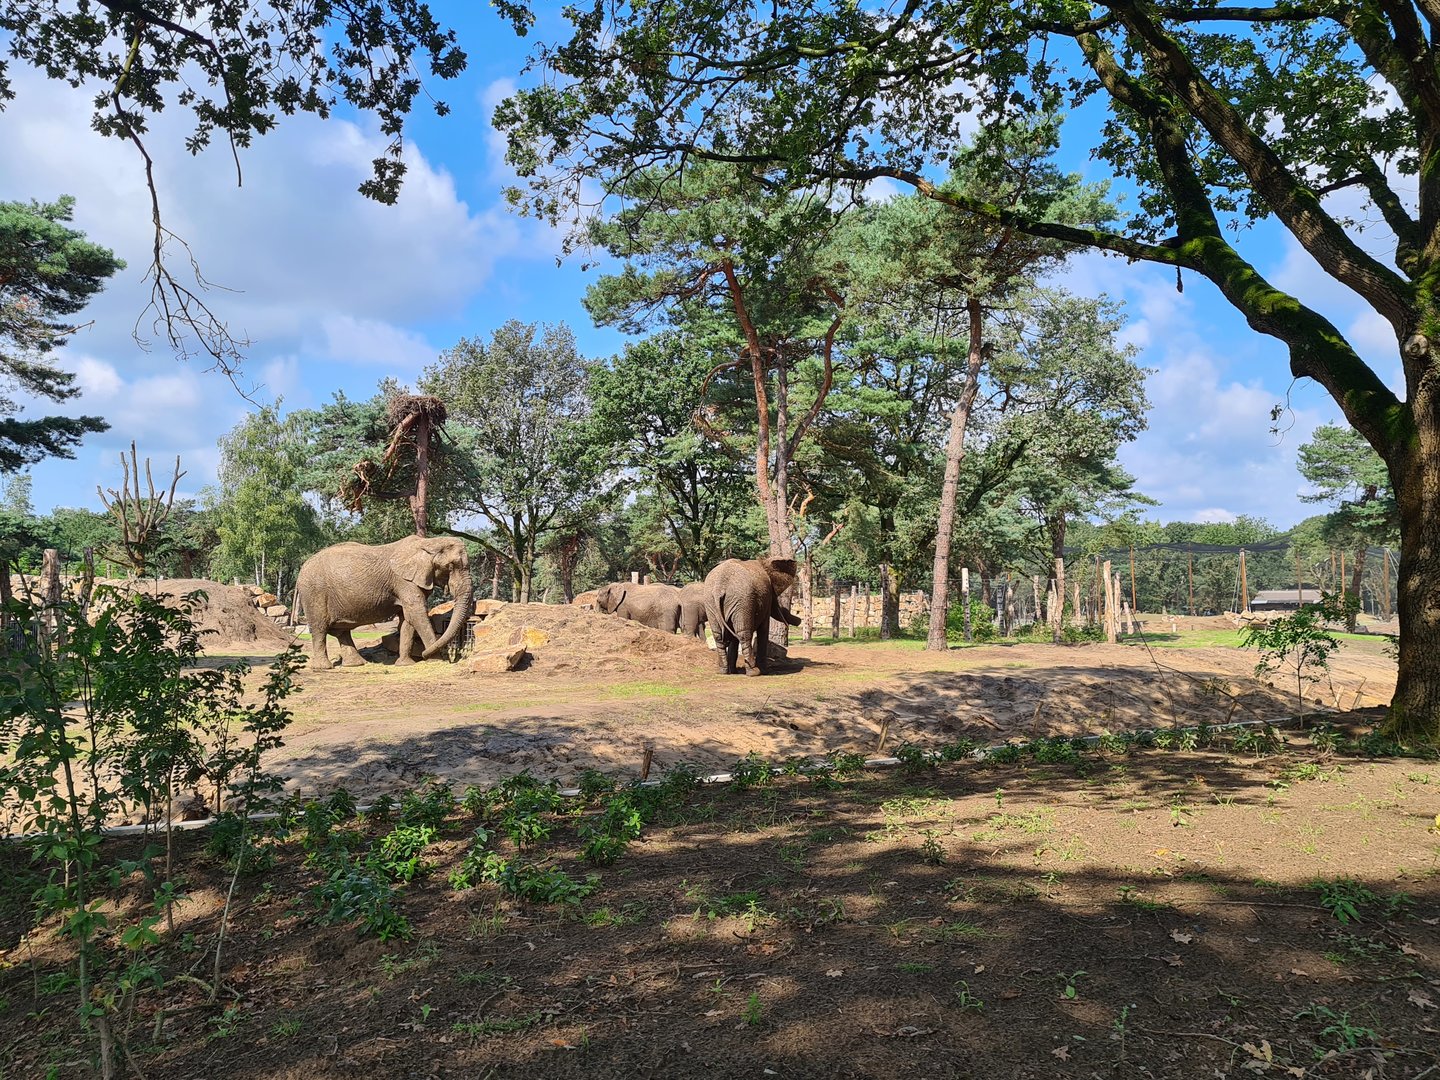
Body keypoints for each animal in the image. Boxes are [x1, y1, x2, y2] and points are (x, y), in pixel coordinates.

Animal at [296, 535, 473, 671]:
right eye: (451, 566)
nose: (424, 654)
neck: (429, 542)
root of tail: (301, 569)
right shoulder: (403, 581)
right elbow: (417, 614)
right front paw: (436, 660)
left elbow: (407, 620)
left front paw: (405, 664)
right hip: (314, 592)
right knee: (319, 628)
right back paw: (323, 667)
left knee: (342, 631)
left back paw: (356, 664)